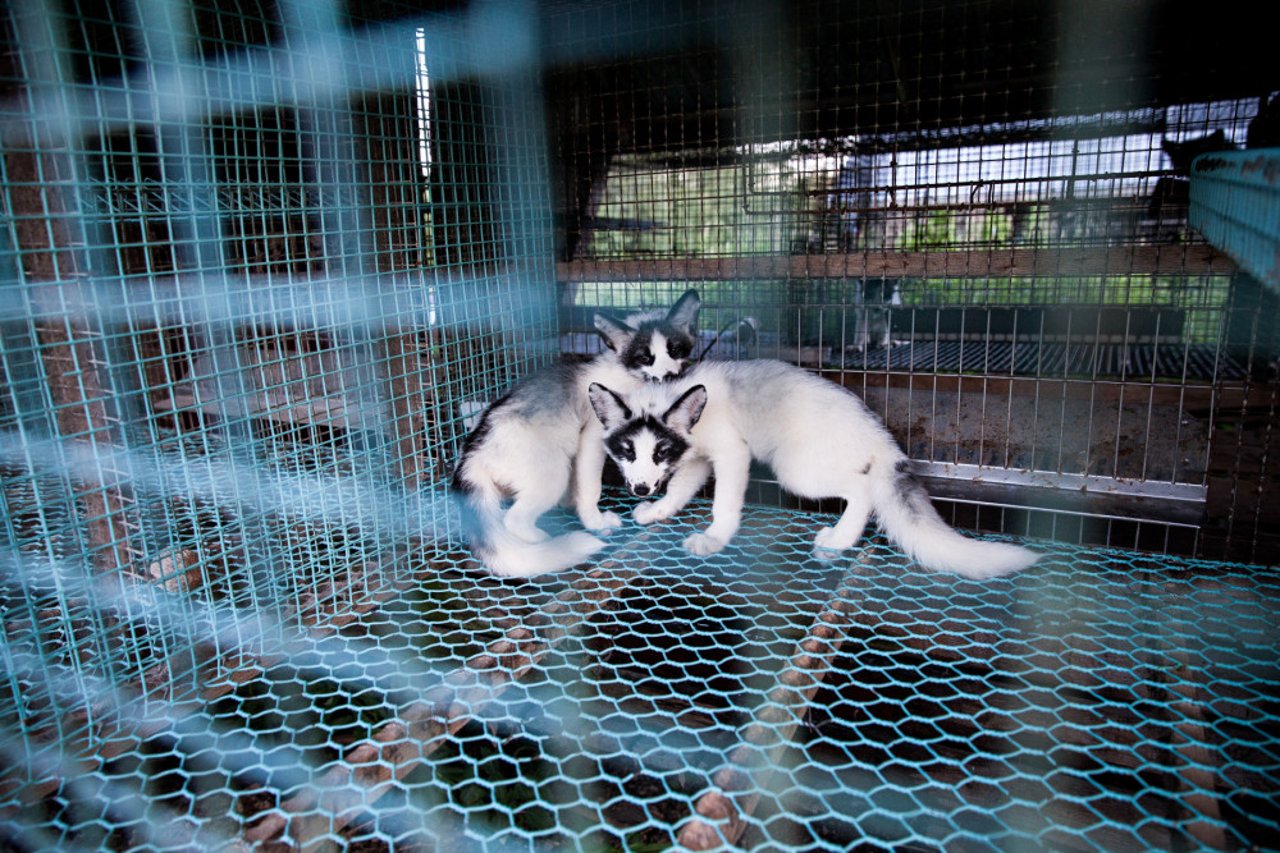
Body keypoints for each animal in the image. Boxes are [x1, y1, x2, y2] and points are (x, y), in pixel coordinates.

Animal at [450, 289, 701, 573]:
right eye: (645, 358)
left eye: (675, 349)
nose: (669, 375)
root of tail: (471, 453)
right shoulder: (593, 436)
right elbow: (592, 487)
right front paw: (596, 522)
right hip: (553, 474)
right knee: (513, 520)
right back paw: (546, 542)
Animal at [588, 358, 1039, 578]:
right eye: (626, 451)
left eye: (660, 451)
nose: (640, 489)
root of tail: (881, 437)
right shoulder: (698, 459)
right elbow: (680, 489)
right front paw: (657, 510)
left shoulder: (732, 453)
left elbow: (723, 504)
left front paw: (715, 538)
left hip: (795, 470)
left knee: (863, 491)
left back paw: (839, 539)